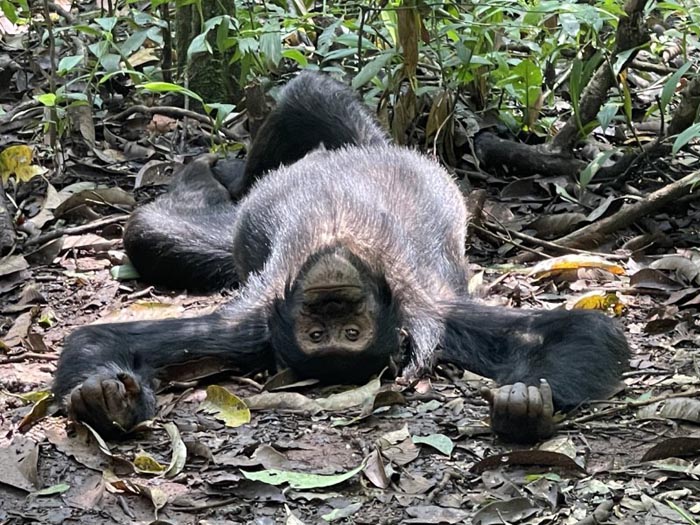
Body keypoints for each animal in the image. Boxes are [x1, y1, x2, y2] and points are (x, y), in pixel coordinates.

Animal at [50, 72, 628, 442]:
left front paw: (524, 406)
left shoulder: (435, 311)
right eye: (317, 331)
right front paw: (107, 400)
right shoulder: (244, 325)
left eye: (350, 332)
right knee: (157, 230)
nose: (331, 299)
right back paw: (217, 176)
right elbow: (105, 339)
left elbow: (580, 331)